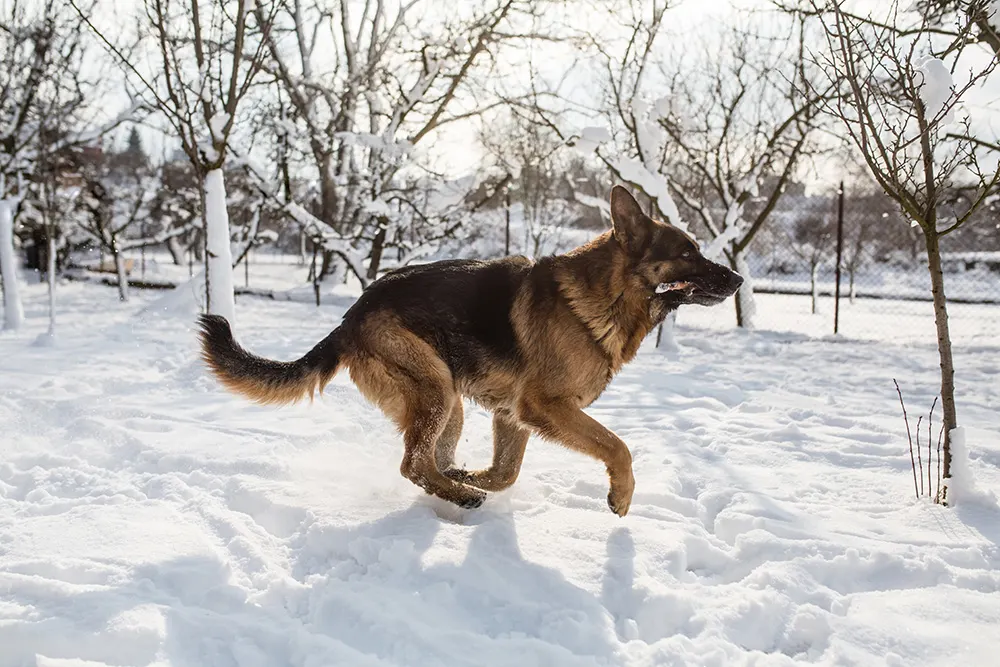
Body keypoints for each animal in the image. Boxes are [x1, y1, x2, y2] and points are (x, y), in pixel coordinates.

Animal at [197, 187, 744, 516]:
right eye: (687, 252)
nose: (738, 279)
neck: (606, 294)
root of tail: (351, 316)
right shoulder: (544, 406)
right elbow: (618, 446)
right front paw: (621, 495)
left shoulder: (514, 415)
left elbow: (505, 472)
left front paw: (472, 474)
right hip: (436, 388)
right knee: (412, 464)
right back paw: (461, 497)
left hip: (449, 404)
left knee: (427, 460)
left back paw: (456, 484)